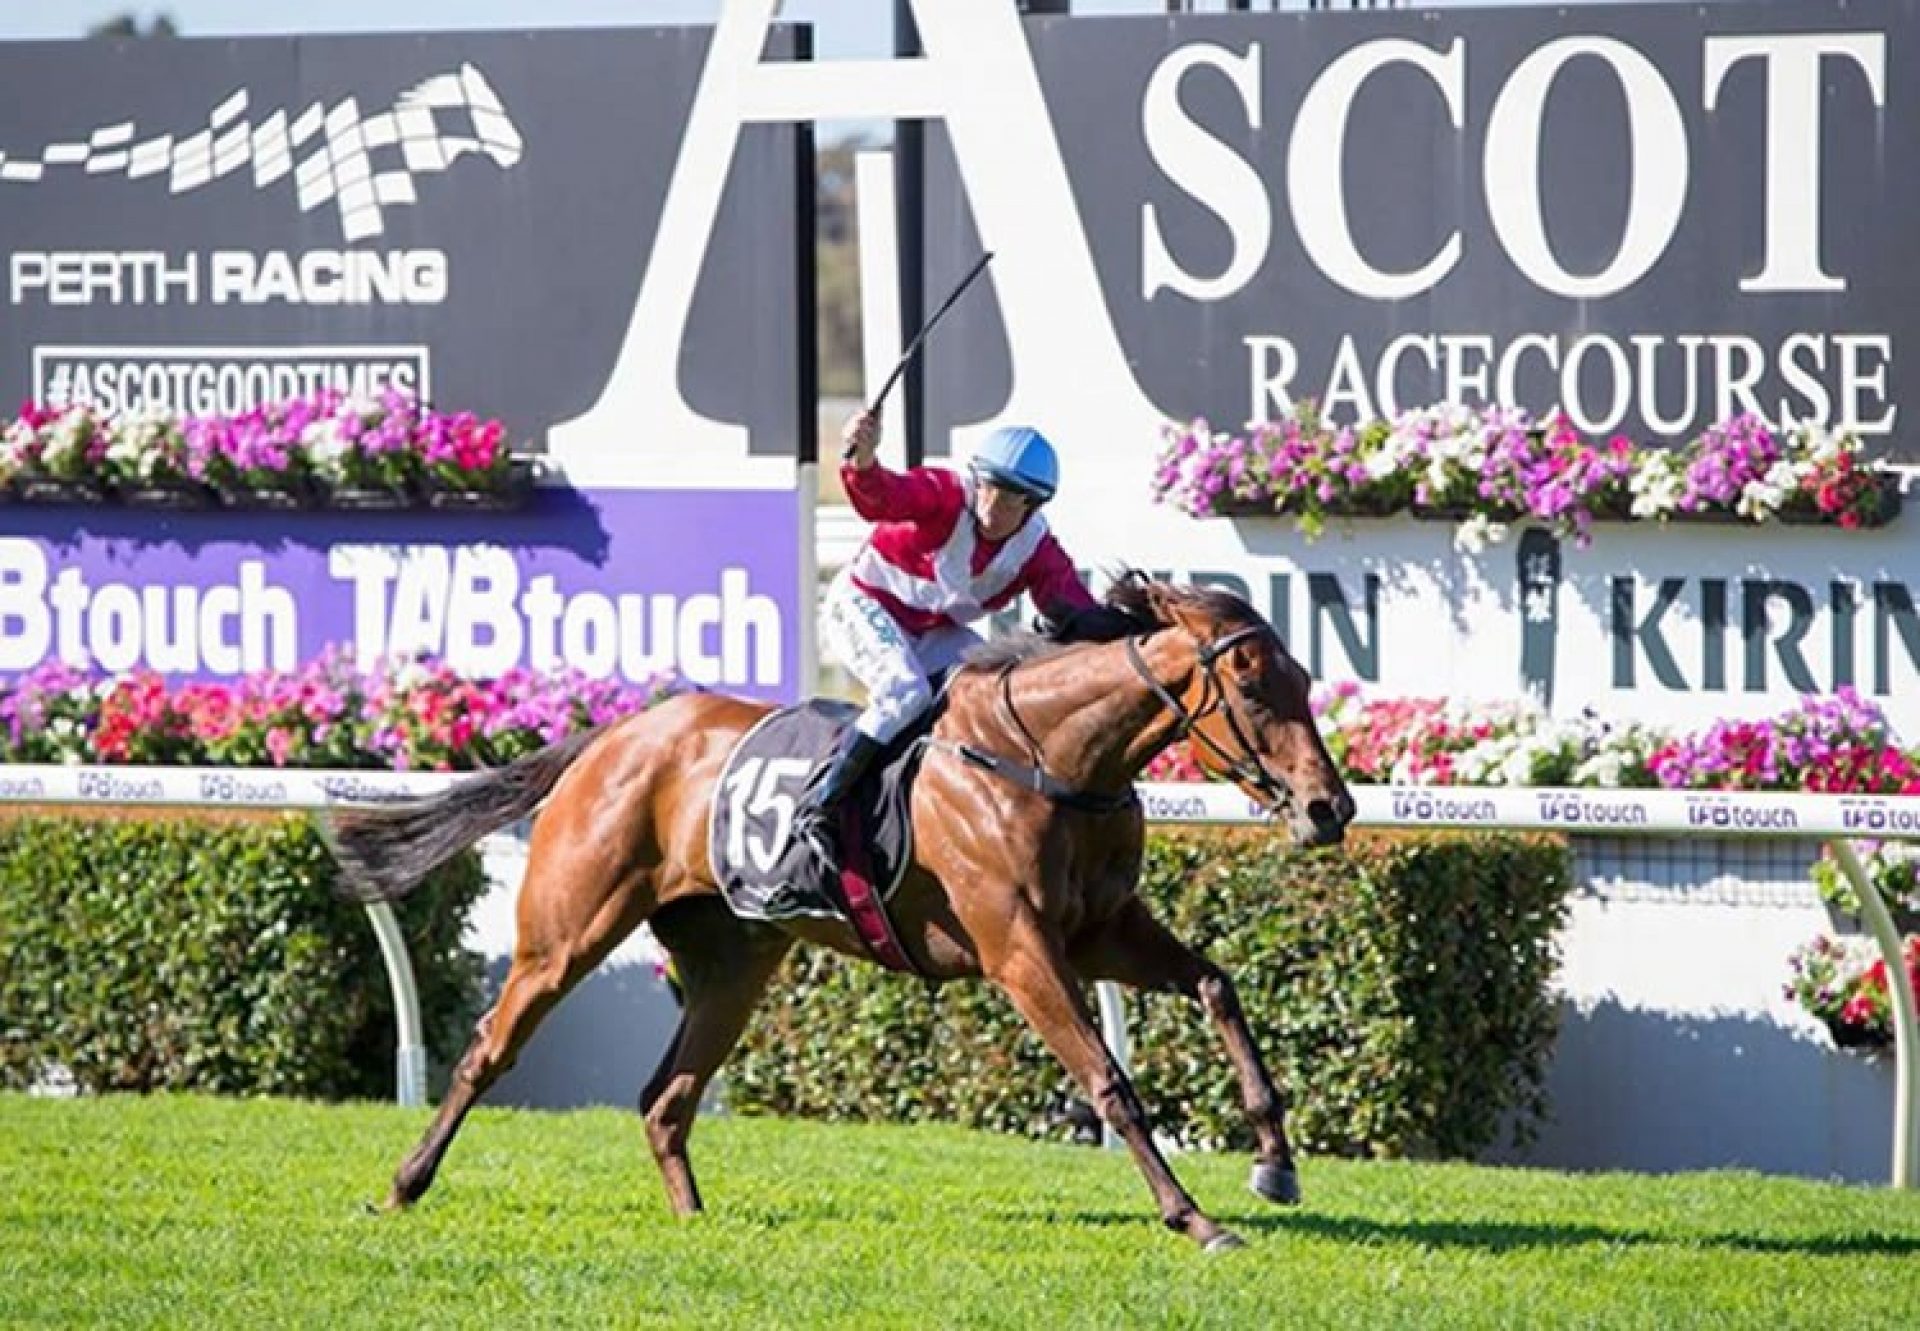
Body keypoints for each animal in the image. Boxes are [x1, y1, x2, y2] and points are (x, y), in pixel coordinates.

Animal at [326, 572, 1351, 1244]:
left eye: (1304, 682)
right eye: (1252, 684)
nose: (1328, 808)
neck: (1048, 758)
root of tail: (616, 733)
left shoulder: (1102, 930)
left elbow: (1217, 987)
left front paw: (1274, 1158)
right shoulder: (1020, 948)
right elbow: (1109, 1080)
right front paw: (1194, 1215)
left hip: (735, 961)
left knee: (666, 1097)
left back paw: (695, 1221)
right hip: (564, 935)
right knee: (490, 1051)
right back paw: (403, 1186)